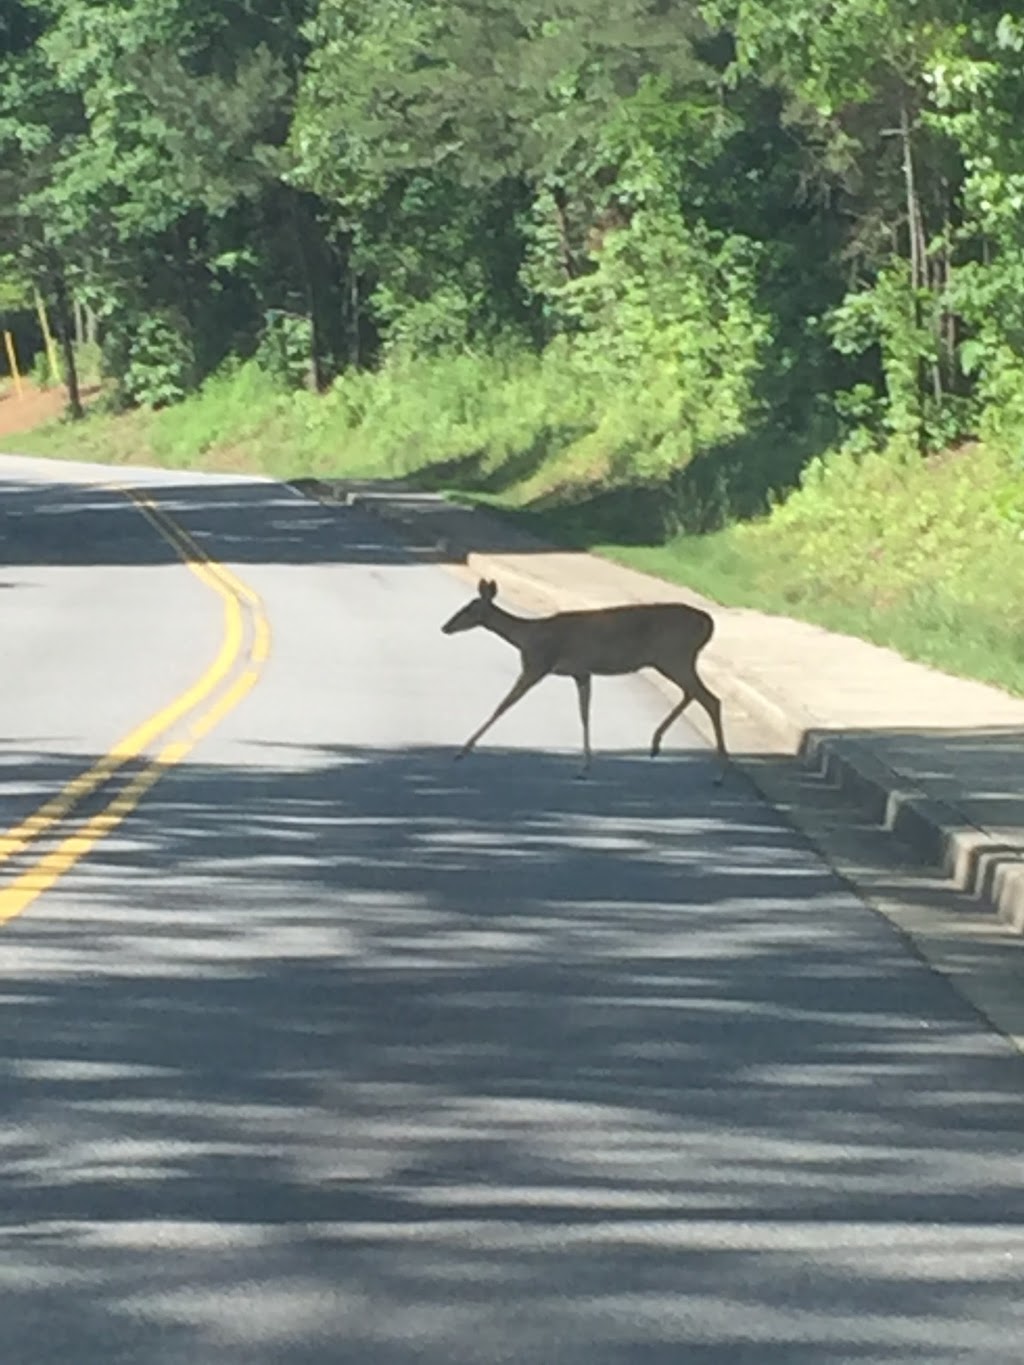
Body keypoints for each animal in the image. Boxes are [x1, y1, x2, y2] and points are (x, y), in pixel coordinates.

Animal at [442, 578, 731, 780]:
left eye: (469, 609)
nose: (445, 627)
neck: (527, 636)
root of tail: (709, 624)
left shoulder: (537, 665)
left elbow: (502, 706)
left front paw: (462, 751)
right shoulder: (581, 672)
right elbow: (584, 714)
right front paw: (585, 765)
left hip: (674, 656)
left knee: (711, 699)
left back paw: (718, 774)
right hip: (673, 660)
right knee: (695, 694)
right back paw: (656, 744)